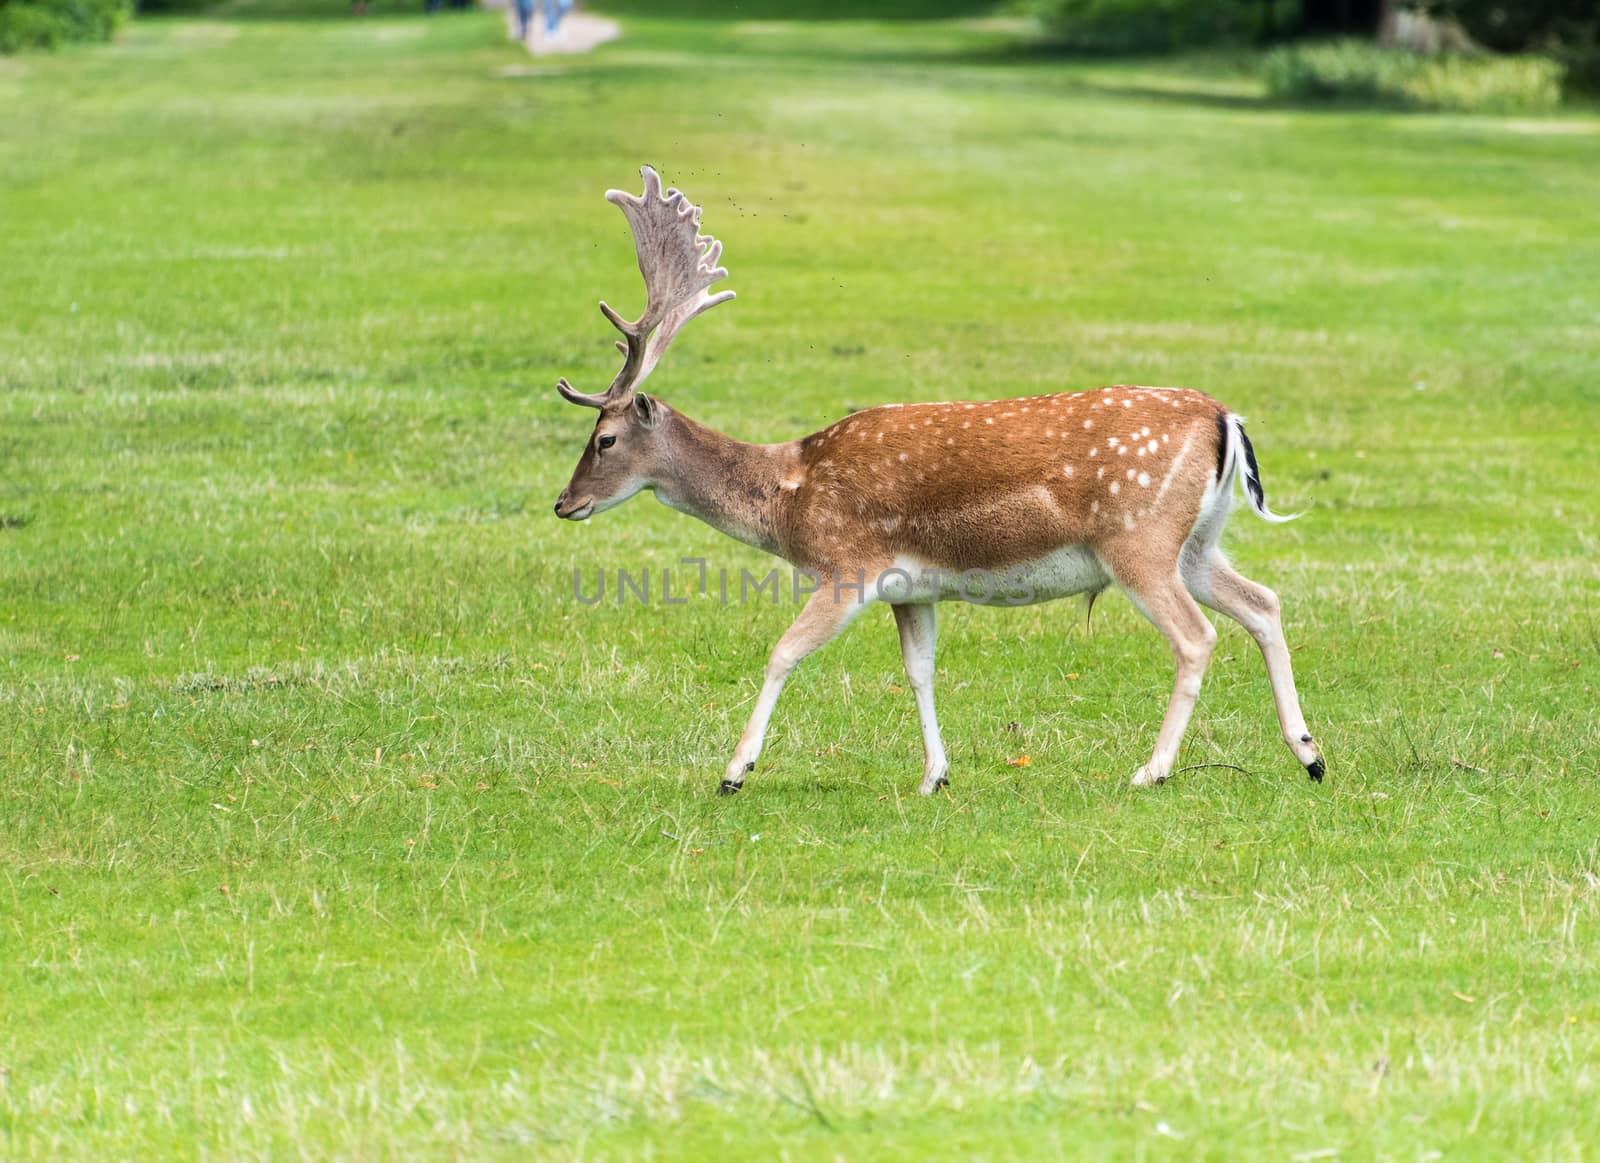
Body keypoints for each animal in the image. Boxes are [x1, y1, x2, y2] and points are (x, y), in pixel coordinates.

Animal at [553, 166, 1324, 790]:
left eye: (604, 439)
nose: (564, 503)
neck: (790, 496)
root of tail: (1225, 417)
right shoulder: (911, 588)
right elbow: (919, 670)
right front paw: (936, 775)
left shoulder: (847, 564)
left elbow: (782, 652)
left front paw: (734, 771)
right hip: (1196, 541)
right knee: (1263, 601)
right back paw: (1310, 753)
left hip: (1138, 538)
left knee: (1197, 637)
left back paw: (1152, 770)